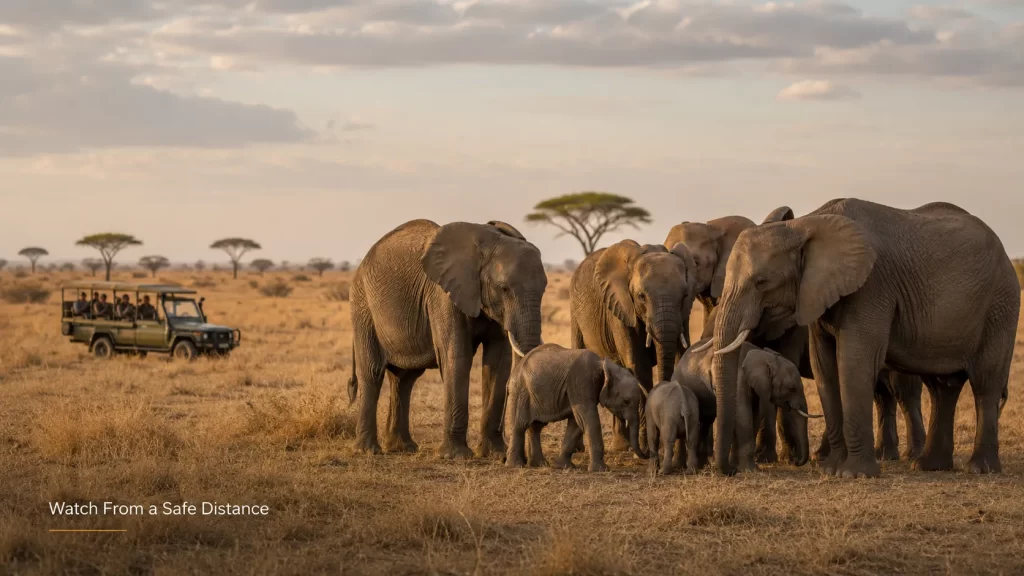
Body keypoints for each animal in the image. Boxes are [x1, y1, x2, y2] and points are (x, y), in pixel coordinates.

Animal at [348, 219, 546, 459]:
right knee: (372, 372)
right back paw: (367, 450)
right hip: (363, 306)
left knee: (404, 379)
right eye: (504, 288)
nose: (512, 456)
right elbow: (456, 357)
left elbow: (498, 363)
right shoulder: (443, 296)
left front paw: (494, 454)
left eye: (544, 288)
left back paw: (402, 447)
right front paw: (455, 456)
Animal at [504, 344, 646, 472]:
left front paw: (563, 467)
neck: (603, 364)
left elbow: (577, 423)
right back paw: (515, 466)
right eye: (626, 401)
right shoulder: (581, 381)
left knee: (536, 427)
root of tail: (512, 375)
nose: (646, 455)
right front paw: (601, 470)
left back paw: (539, 465)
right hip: (521, 391)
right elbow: (587, 418)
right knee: (520, 425)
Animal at [569, 240, 697, 453]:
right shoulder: (620, 308)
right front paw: (647, 448)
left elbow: (681, 355)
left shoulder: (684, 315)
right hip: (575, 312)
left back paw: (621, 446)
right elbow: (639, 365)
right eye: (641, 296)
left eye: (684, 295)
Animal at [678, 337, 819, 470]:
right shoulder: (739, 378)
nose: (796, 462)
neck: (764, 356)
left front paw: (736, 466)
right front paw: (750, 470)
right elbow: (743, 414)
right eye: (792, 389)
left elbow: (755, 414)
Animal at [707, 198, 1019, 477]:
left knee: (985, 383)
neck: (805, 224)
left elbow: (854, 362)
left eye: (761, 282)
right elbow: (825, 368)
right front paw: (831, 470)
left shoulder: (872, 286)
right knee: (942, 387)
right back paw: (929, 466)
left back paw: (980, 469)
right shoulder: (817, 293)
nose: (729, 471)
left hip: (1000, 306)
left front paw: (854, 474)